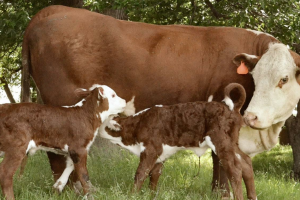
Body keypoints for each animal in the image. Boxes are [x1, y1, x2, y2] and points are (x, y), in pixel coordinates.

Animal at [100, 83, 255, 200]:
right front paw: (151, 196)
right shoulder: (160, 154)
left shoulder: (151, 149)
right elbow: (154, 175)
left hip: (221, 141)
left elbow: (140, 173)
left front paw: (132, 195)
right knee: (246, 163)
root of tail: (230, 108)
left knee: (235, 170)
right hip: (232, 143)